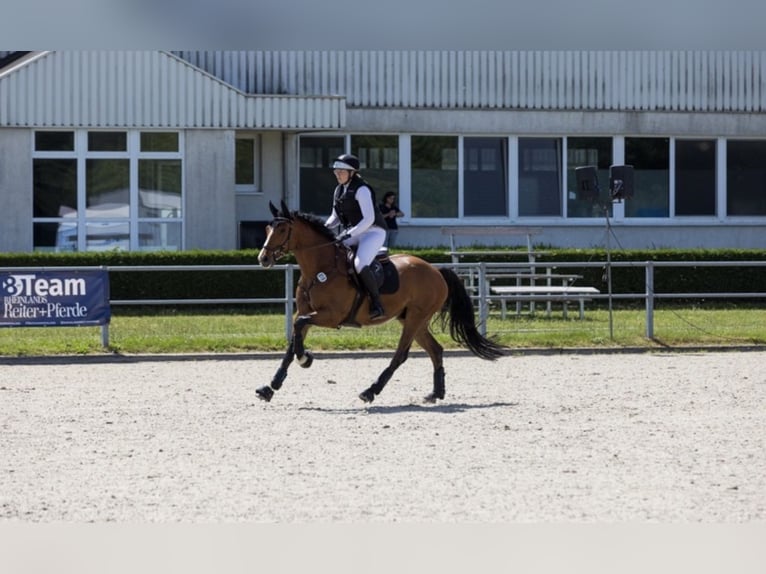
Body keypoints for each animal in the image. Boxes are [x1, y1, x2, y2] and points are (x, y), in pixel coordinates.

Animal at [258, 201, 510, 404]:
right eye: (268, 229)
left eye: (282, 229)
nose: (263, 258)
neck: (320, 269)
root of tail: (436, 271)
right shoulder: (307, 311)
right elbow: (293, 339)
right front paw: (271, 386)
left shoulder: (330, 316)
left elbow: (299, 326)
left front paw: (305, 359)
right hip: (413, 319)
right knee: (436, 350)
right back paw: (436, 393)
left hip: (415, 318)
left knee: (401, 355)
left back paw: (370, 391)